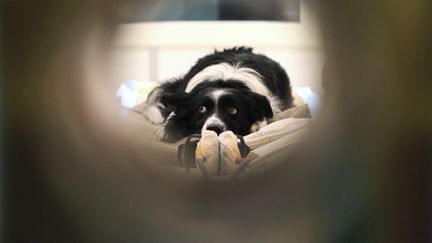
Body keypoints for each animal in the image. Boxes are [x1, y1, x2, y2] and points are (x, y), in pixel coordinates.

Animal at [142, 47, 294, 142]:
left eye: (232, 110)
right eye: (201, 108)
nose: (213, 129)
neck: (225, 81)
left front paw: (255, 125)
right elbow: (176, 114)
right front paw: (168, 129)